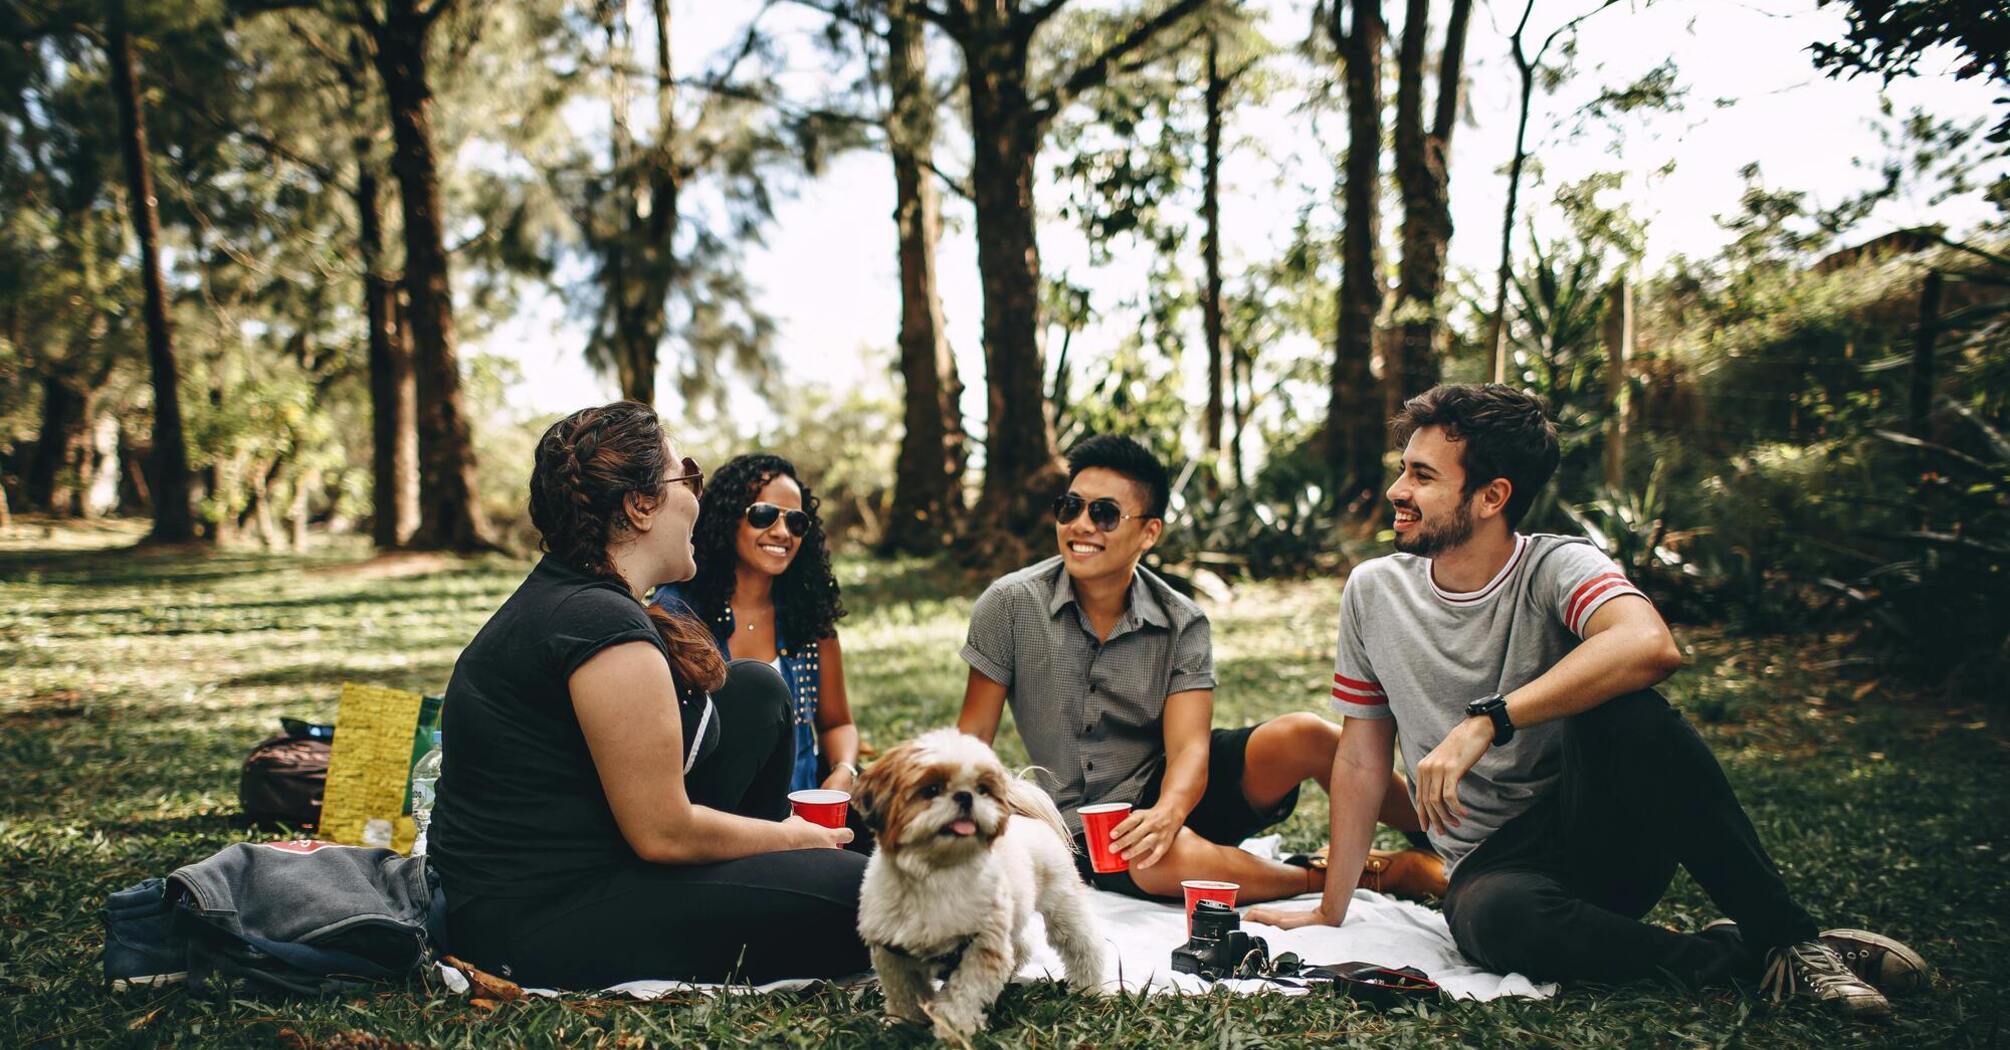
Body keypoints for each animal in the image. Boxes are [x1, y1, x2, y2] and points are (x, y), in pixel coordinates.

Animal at [853, 729, 1106, 1039]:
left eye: (982, 789)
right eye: (931, 789)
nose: (965, 796)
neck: (936, 873)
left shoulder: (982, 948)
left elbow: (963, 994)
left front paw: (953, 1029)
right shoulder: (893, 952)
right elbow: (904, 993)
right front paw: (902, 1025)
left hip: (1062, 904)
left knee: (1083, 945)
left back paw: (1088, 988)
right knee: (1020, 946)